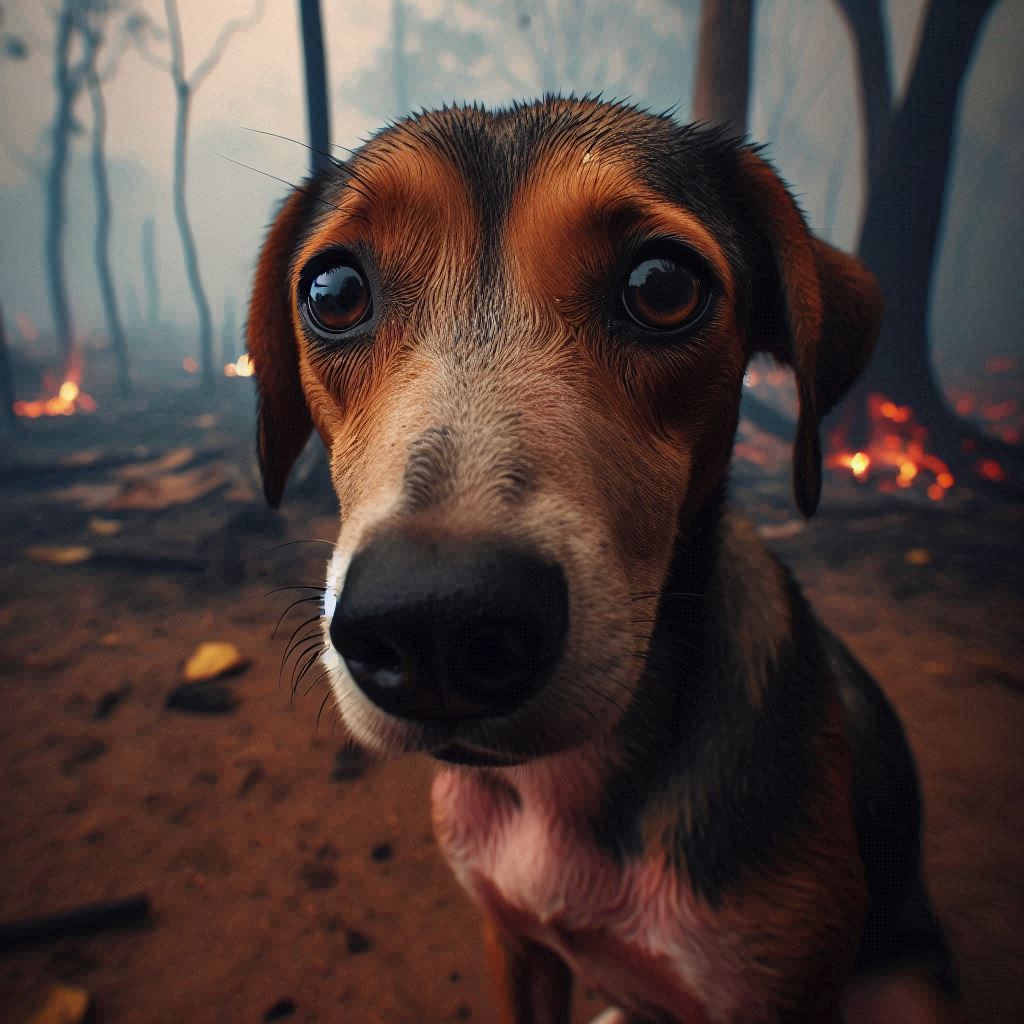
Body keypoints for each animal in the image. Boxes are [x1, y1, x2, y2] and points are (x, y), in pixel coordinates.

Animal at [243, 97, 954, 1024]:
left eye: (662, 287)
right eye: (333, 293)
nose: (436, 625)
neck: (563, 791)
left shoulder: (777, 995)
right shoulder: (512, 940)